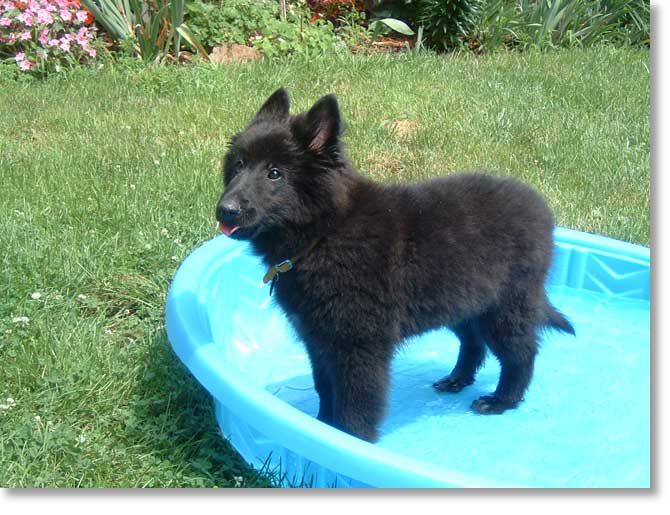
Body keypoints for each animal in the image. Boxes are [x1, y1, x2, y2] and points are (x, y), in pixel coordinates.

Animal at [218, 88, 576, 444]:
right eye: (238, 165)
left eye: (274, 173)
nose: (225, 210)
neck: (324, 233)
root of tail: (541, 208)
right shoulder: (318, 340)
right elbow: (325, 389)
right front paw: (321, 427)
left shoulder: (360, 347)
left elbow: (355, 406)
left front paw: (349, 442)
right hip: (463, 303)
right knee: (473, 344)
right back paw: (456, 380)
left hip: (505, 308)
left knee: (521, 354)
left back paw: (502, 400)